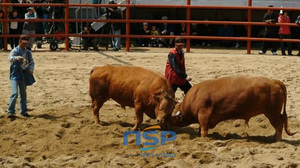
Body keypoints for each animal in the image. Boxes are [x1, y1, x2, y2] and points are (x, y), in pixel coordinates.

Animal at [168, 76, 296, 142]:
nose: (165, 122)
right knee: (281, 123)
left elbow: (203, 130)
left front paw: (202, 139)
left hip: (271, 113)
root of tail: (275, 81)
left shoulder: (204, 114)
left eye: (171, 116)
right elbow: (201, 128)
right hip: (275, 113)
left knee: (278, 126)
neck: (194, 97)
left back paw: (277, 141)